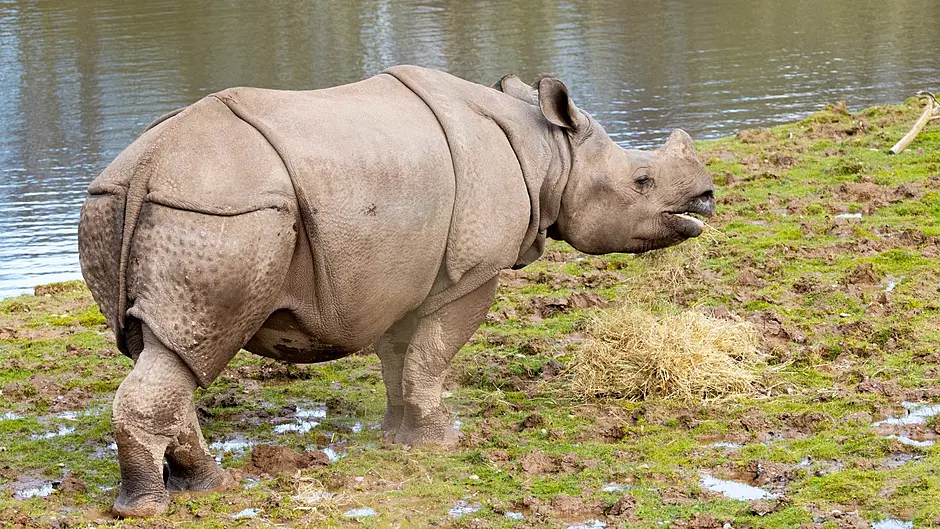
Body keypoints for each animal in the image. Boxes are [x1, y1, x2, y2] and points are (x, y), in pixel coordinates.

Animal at [78, 65, 715, 517]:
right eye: (642, 181)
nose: (706, 199)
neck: (550, 152)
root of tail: (143, 168)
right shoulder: (471, 273)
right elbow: (433, 354)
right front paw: (442, 441)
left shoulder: (404, 273)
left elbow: (401, 355)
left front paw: (397, 435)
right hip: (221, 213)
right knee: (191, 347)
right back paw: (150, 509)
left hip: (120, 208)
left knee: (169, 352)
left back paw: (207, 486)